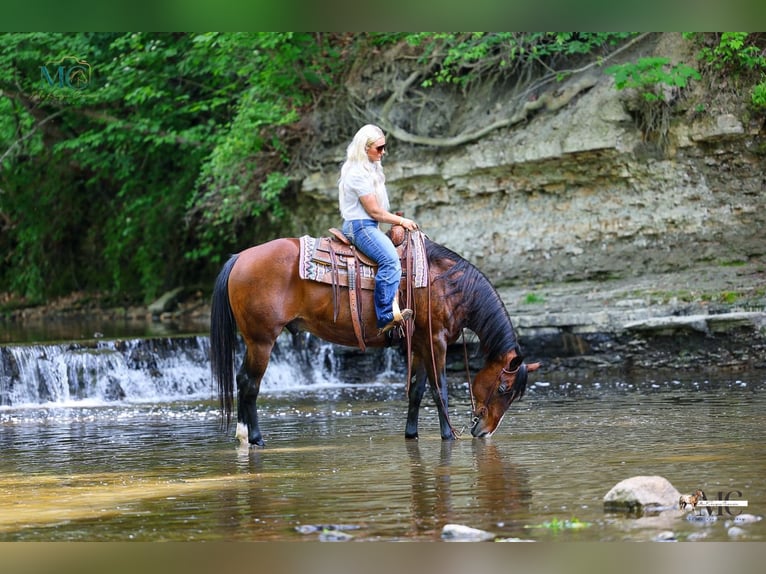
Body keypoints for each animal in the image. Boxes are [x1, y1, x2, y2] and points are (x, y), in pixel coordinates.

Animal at [210, 231, 540, 446]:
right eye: (503, 388)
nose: (484, 431)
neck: (446, 284)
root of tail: (240, 258)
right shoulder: (436, 342)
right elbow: (440, 391)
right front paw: (448, 436)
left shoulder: (419, 344)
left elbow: (416, 391)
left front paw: (411, 434)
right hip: (262, 341)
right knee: (250, 384)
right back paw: (255, 438)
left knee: (242, 380)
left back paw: (242, 435)